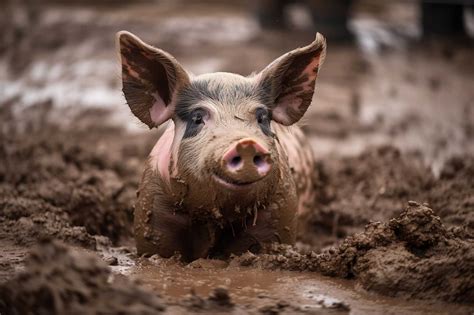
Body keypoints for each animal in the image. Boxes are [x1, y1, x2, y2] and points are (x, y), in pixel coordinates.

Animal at [117, 30, 328, 262]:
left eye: (262, 117)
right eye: (197, 118)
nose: (246, 143)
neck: (214, 217)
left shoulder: (280, 205)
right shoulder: (153, 204)